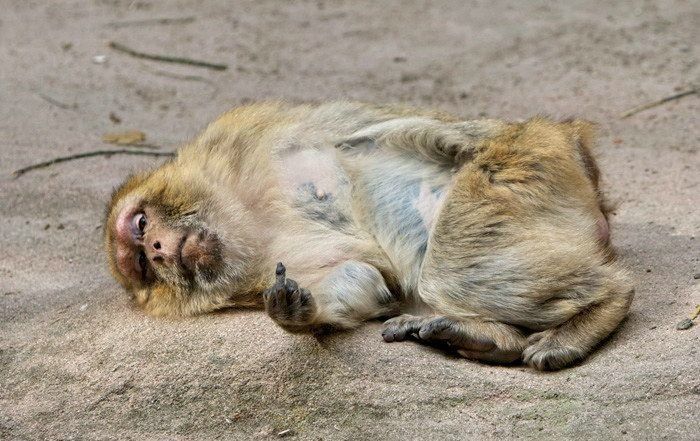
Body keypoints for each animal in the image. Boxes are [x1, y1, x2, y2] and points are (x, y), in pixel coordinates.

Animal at [104, 101, 636, 370]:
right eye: (143, 267)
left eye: (141, 224)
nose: (157, 249)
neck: (246, 213)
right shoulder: (252, 278)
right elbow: (359, 280)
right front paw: (299, 314)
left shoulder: (250, 129)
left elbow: (402, 130)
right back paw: (487, 338)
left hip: (531, 171)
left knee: (452, 269)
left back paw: (602, 303)